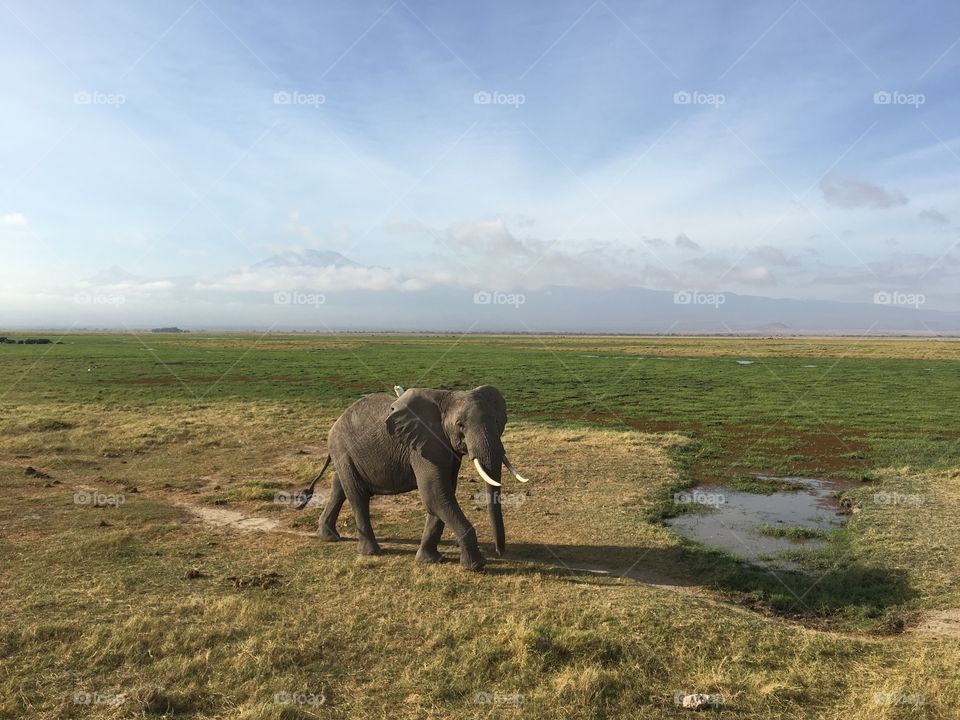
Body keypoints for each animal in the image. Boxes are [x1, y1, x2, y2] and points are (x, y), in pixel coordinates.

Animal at [295, 385, 529, 570]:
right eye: (460, 425)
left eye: (498, 421)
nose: (500, 552)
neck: (446, 398)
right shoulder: (421, 447)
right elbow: (435, 494)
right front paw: (476, 566)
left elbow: (443, 495)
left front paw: (431, 560)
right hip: (342, 448)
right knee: (358, 496)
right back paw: (371, 552)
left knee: (339, 486)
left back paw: (328, 537)